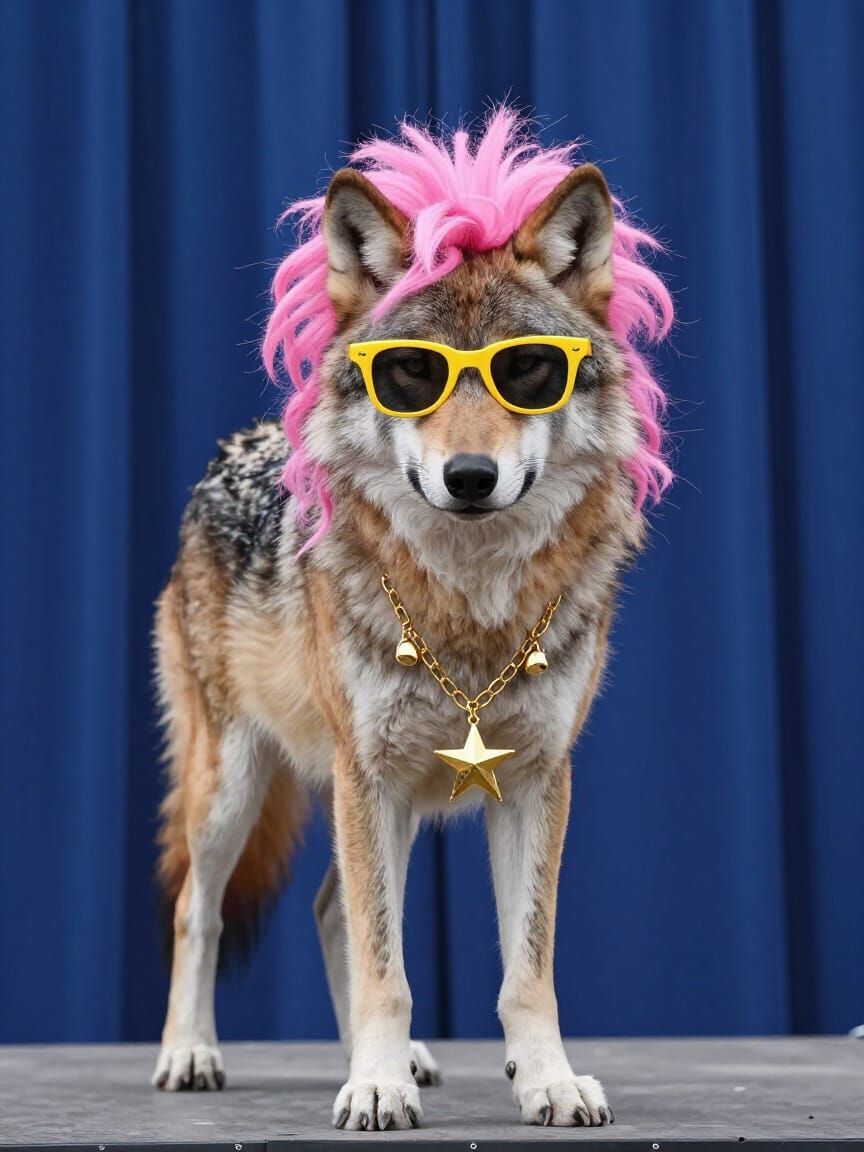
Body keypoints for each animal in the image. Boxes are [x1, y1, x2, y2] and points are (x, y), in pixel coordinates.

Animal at [152, 109, 673, 1131]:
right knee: (202, 907)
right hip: (237, 785)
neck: (470, 611)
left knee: (327, 907)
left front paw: (546, 1080)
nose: (469, 477)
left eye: (528, 372)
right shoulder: (371, 777)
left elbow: (526, 971)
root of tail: (231, 450)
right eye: (408, 377)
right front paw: (376, 1088)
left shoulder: (536, 779)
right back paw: (191, 1053)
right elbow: (385, 965)